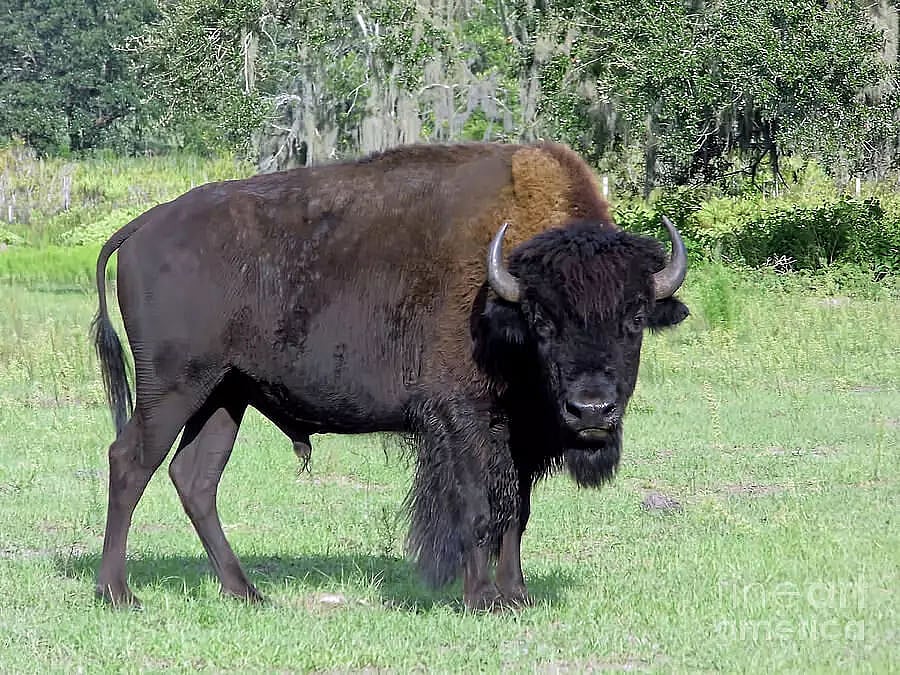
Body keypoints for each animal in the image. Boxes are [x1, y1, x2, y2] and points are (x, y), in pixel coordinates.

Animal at [91, 141, 688, 611]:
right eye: (542, 319)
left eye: (635, 317)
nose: (592, 411)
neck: (504, 299)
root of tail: (143, 225)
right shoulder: (464, 419)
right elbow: (478, 506)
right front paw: (482, 599)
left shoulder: (522, 436)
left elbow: (515, 512)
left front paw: (518, 595)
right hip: (174, 387)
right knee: (130, 462)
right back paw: (118, 594)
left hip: (225, 395)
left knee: (195, 477)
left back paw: (247, 593)